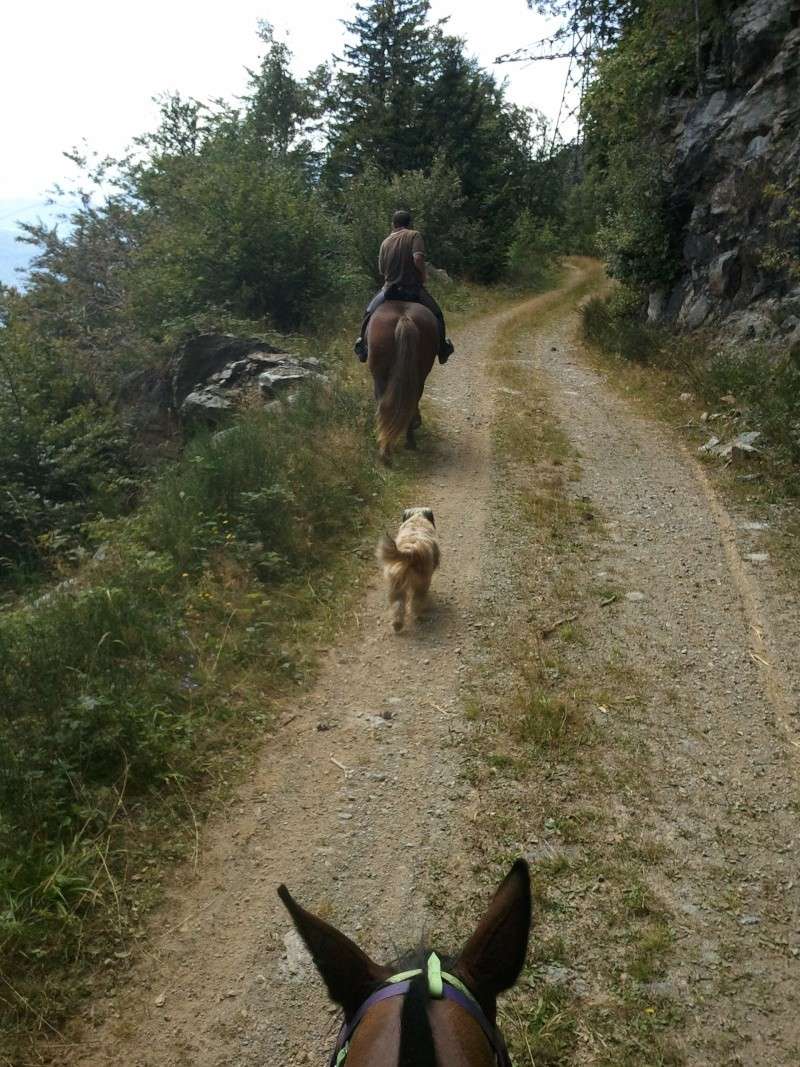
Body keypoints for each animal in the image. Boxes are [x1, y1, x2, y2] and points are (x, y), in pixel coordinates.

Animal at [369, 303, 439, 465]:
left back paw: (388, 450)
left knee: (385, 406)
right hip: (419, 374)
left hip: (380, 376)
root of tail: (404, 318)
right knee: (410, 401)